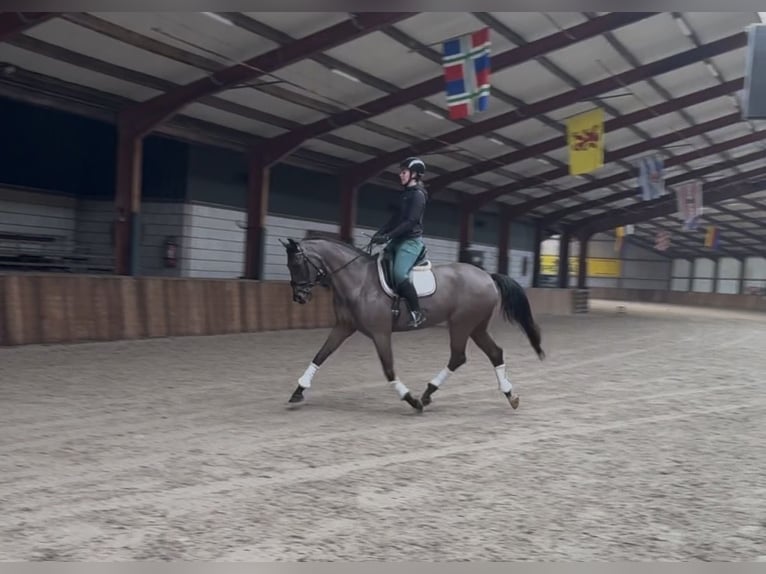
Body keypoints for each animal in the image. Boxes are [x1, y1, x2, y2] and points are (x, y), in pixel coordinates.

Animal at [280, 236, 545, 413]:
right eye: (289, 265)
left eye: (297, 264)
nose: (299, 297)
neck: (359, 281)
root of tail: (487, 276)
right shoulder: (344, 327)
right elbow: (320, 355)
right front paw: (298, 391)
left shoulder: (380, 333)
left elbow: (388, 369)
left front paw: (411, 399)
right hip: (475, 327)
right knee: (494, 353)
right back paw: (510, 395)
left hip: (461, 324)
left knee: (458, 356)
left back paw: (426, 395)